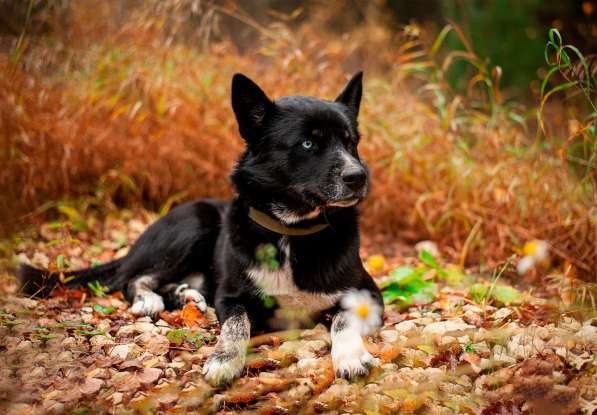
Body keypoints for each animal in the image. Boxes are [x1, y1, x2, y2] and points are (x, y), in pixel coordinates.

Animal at [18, 71, 384, 386]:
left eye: (351, 143)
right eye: (308, 144)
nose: (358, 177)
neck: (290, 231)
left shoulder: (369, 295)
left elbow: (344, 319)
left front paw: (350, 355)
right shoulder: (231, 298)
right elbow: (236, 326)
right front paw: (224, 360)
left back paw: (187, 295)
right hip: (195, 222)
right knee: (131, 279)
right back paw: (151, 300)